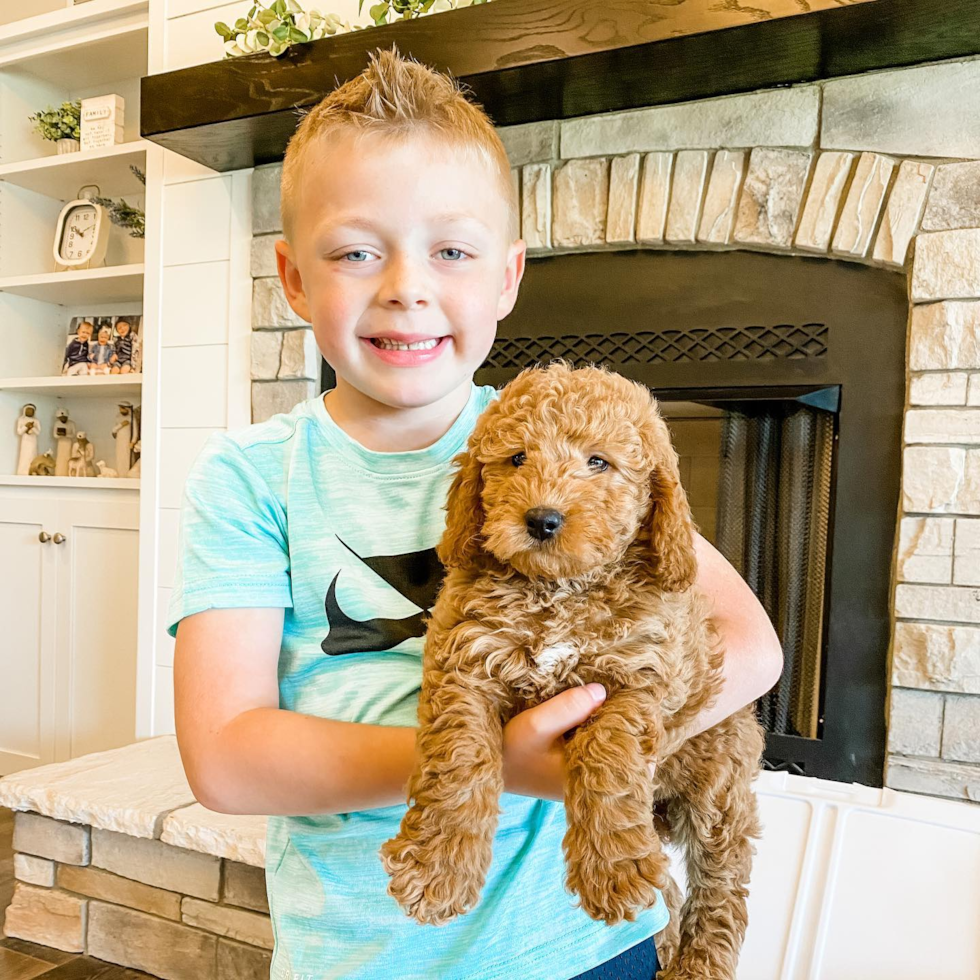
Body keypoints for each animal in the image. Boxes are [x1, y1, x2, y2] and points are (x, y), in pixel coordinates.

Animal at [378, 362, 768, 980]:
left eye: (598, 462)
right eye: (517, 458)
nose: (542, 520)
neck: (558, 591)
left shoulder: (636, 679)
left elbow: (609, 758)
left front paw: (612, 870)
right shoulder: (465, 665)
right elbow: (459, 759)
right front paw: (437, 869)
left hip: (718, 784)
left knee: (722, 883)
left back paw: (698, 962)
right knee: (672, 891)